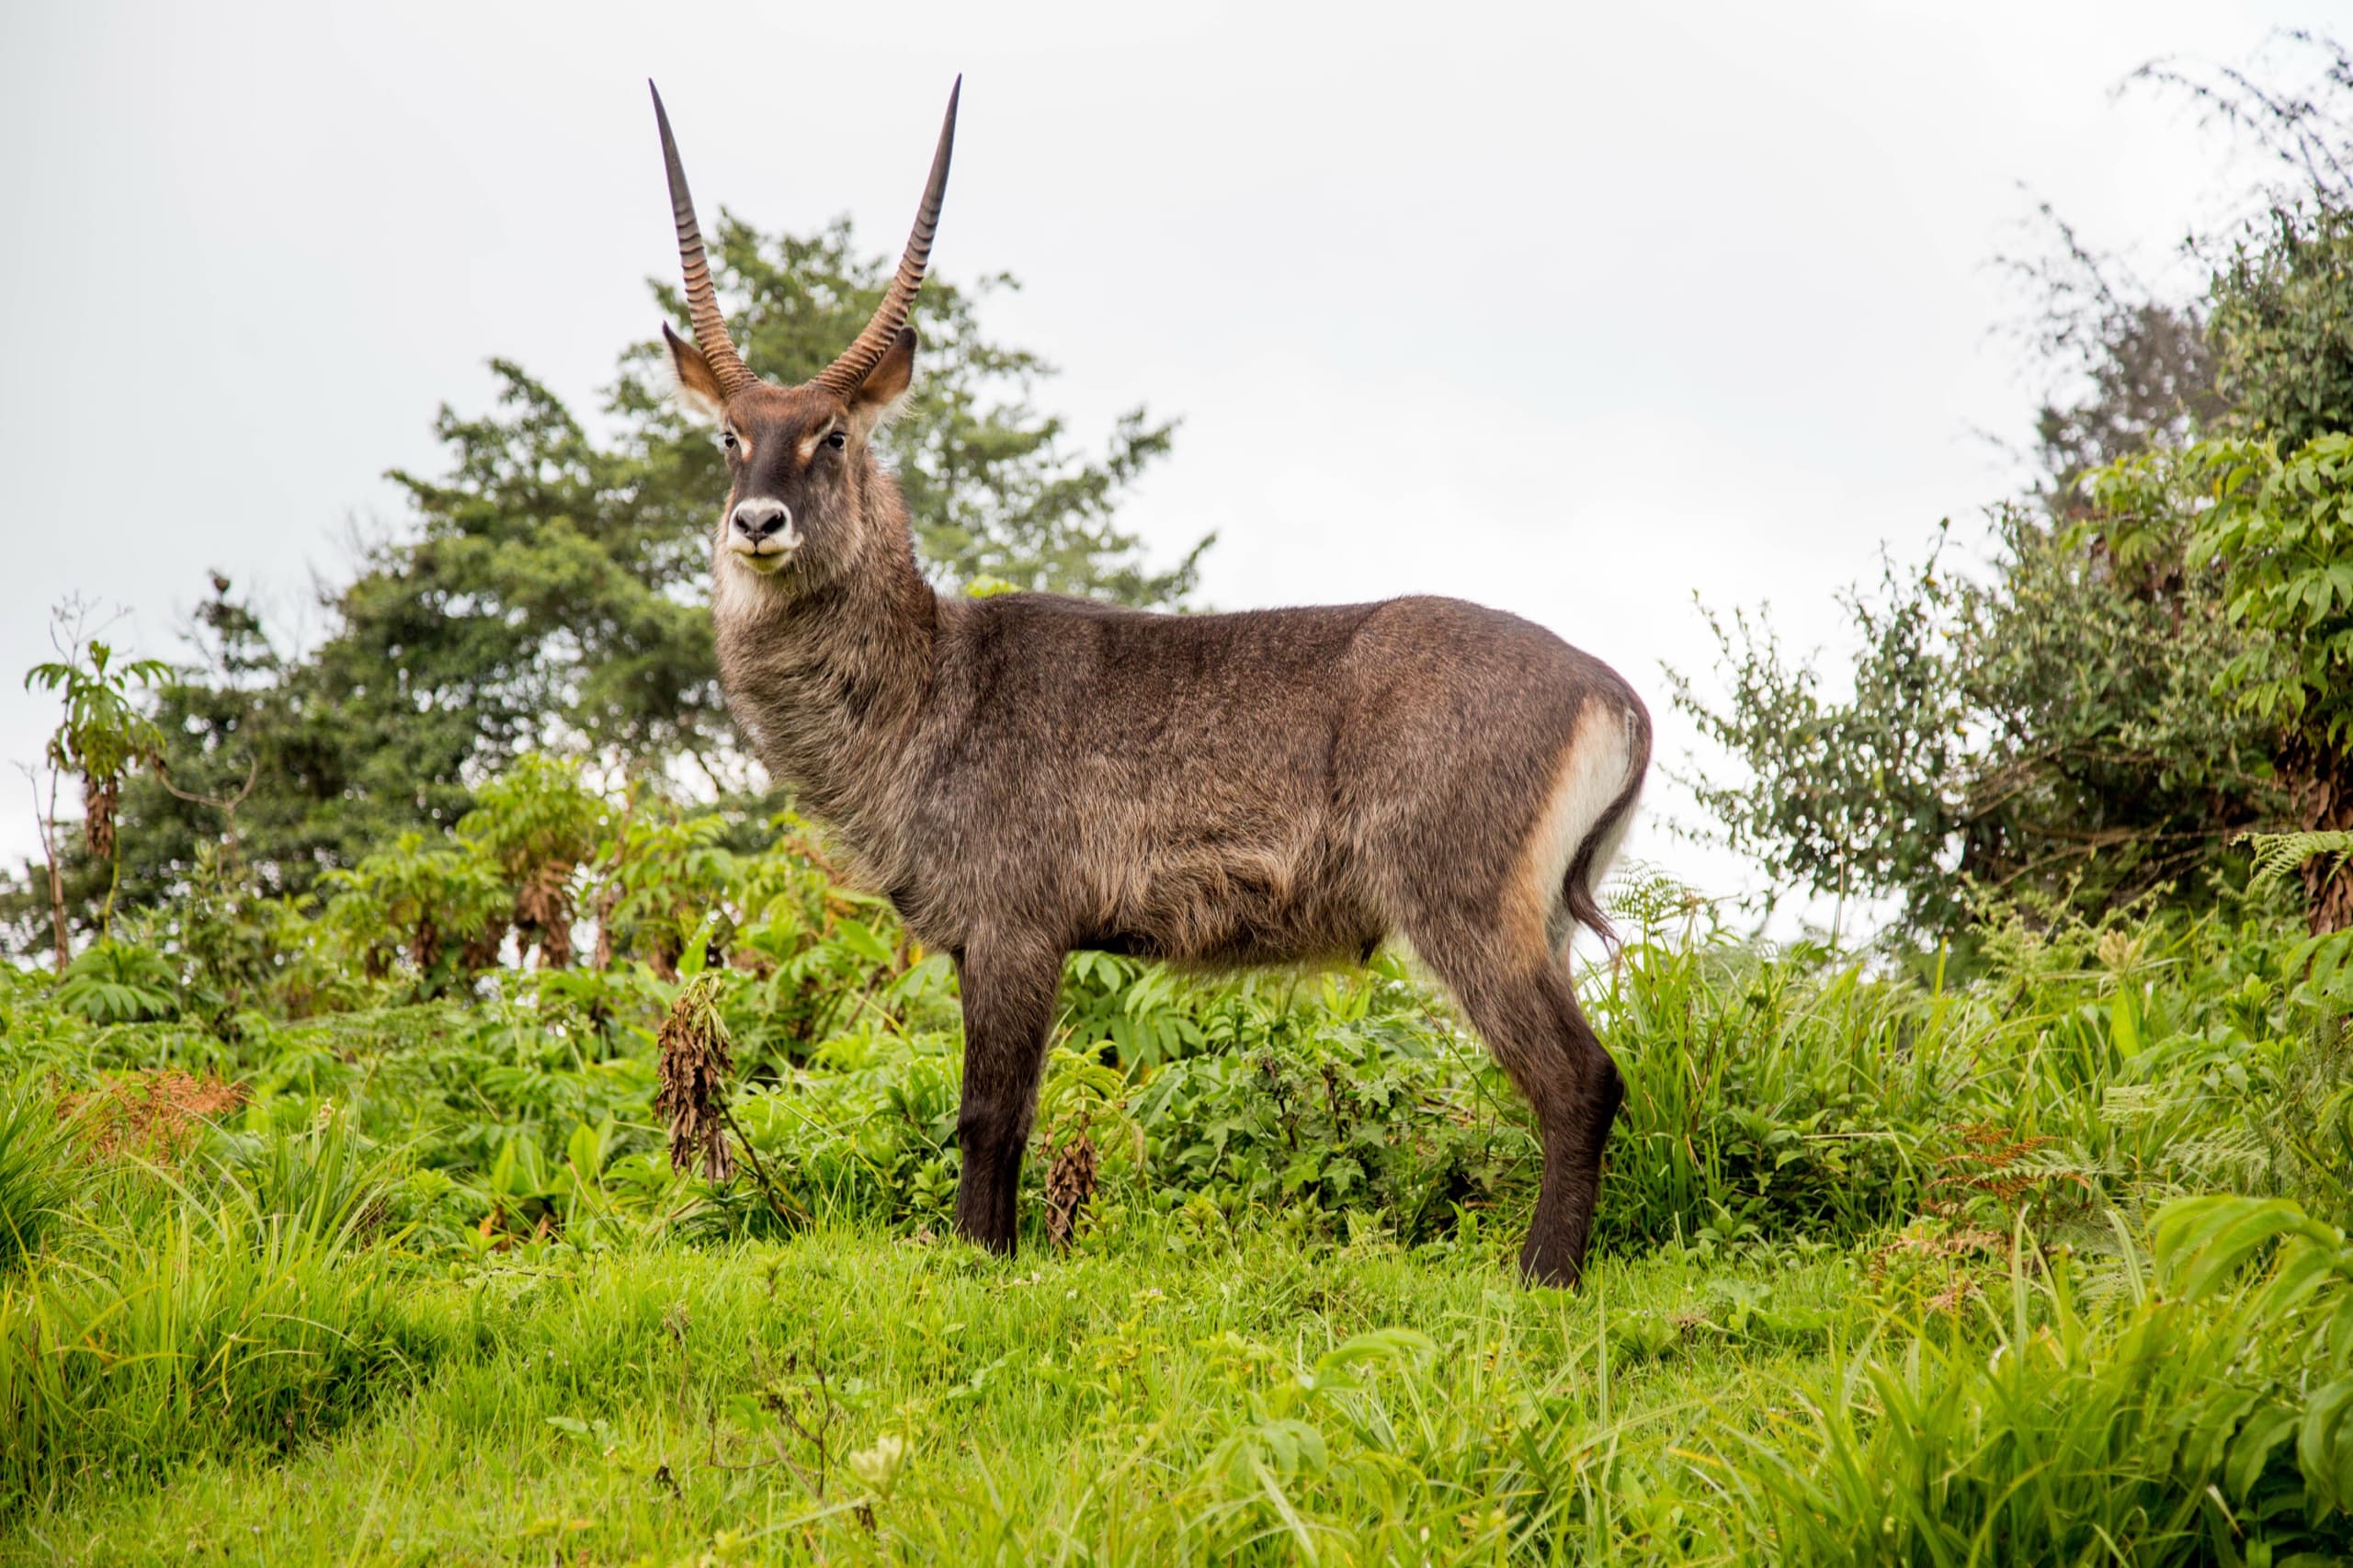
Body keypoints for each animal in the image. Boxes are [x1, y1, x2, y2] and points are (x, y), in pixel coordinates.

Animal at [647, 79, 1651, 1287]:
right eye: (729, 437)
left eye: (831, 435)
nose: (758, 523)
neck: (932, 683)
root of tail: (1612, 688)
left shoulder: (1015, 925)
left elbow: (990, 1116)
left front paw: (981, 1261)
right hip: (1541, 917)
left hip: (1461, 902)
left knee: (1578, 1075)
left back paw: (1541, 1275)